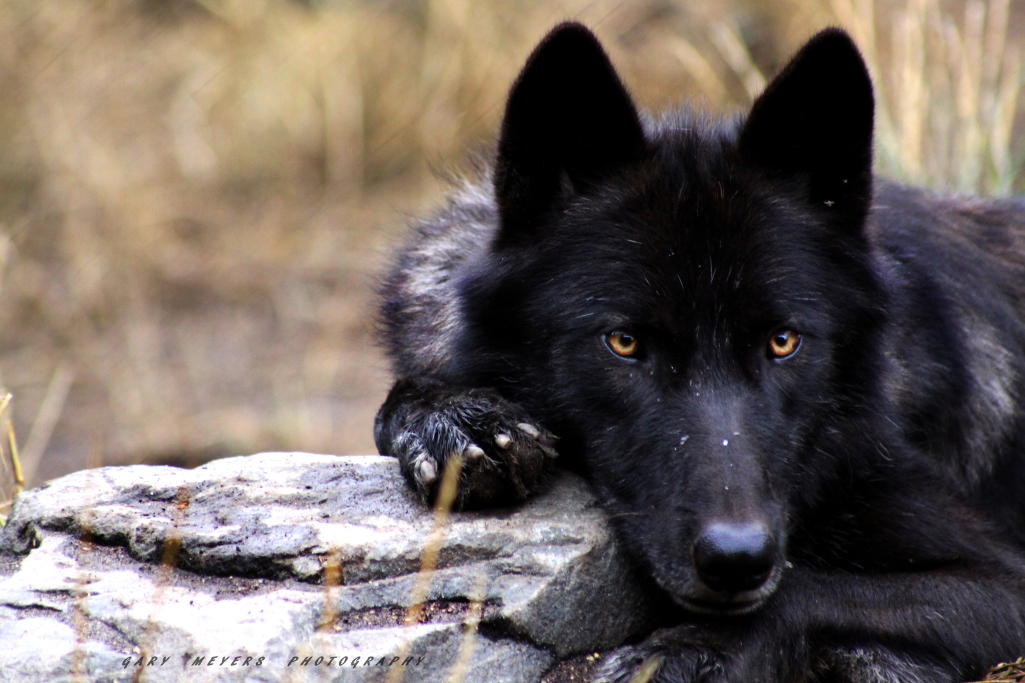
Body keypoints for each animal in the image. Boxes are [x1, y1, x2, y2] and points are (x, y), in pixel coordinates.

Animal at [374, 22, 1025, 683]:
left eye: (783, 342)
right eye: (625, 342)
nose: (736, 558)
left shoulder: (1003, 580)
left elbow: (810, 587)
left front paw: (688, 649)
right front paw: (458, 421)